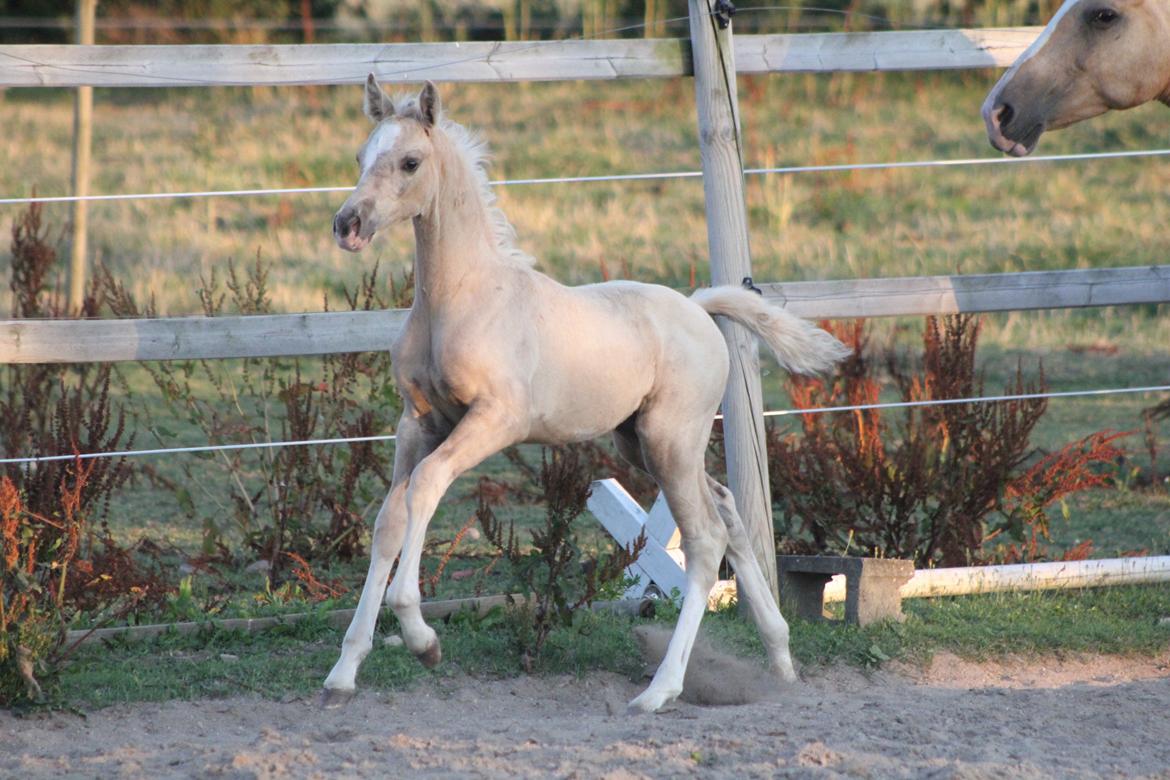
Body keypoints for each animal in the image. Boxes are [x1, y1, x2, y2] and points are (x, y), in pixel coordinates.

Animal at [322, 77, 851, 715]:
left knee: (706, 542)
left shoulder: (495, 420)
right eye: (360, 156)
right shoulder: (416, 423)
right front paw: (344, 671)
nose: (348, 224)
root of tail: (699, 307)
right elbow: (388, 522)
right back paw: (779, 655)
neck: (461, 299)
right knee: (727, 507)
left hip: (670, 440)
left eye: (410, 162)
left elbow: (425, 487)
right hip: (639, 443)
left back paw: (660, 690)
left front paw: (423, 640)